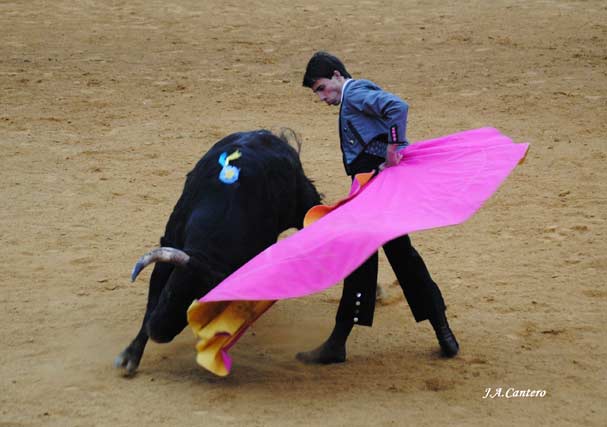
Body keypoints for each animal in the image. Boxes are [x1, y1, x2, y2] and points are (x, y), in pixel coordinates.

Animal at [116, 130, 320, 374]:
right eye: (170, 292)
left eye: (202, 306)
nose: (158, 332)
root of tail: (269, 135)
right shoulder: (170, 245)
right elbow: (152, 301)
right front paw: (131, 355)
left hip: (304, 201)